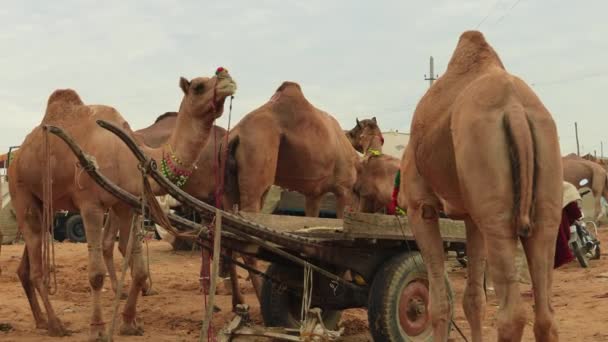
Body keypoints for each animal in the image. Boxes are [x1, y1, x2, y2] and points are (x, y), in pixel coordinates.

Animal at [10, 67, 238, 340]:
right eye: (198, 87)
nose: (227, 80)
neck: (132, 154)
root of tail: (16, 157)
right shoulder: (91, 205)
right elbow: (96, 274)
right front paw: (98, 329)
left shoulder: (125, 205)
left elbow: (138, 269)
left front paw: (129, 323)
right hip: (21, 192)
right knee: (37, 268)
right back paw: (56, 325)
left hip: (44, 205)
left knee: (27, 264)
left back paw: (41, 321)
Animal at [223, 81, 360, 304]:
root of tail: (235, 135)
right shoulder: (344, 188)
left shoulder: (314, 193)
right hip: (257, 158)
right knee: (247, 241)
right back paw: (260, 299)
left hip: (228, 182)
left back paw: (239, 302)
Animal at [396, 30, 564, 340]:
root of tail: (515, 108)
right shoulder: (472, 217)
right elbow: (474, 300)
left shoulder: (420, 207)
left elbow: (438, 304)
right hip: (545, 189)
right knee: (546, 314)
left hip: (493, 198)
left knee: (512, 314)